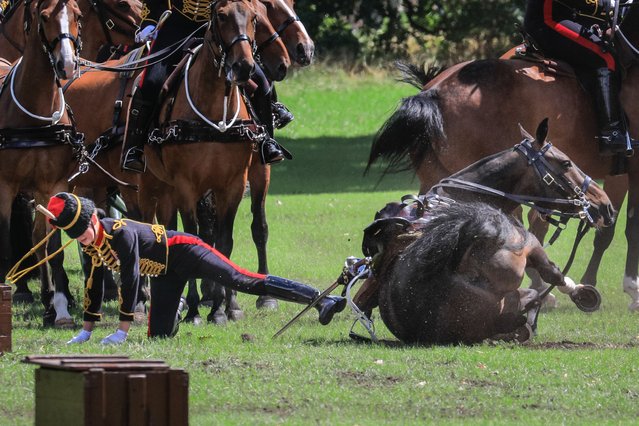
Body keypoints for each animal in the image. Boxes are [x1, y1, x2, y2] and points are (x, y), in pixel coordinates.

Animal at [0, 0, 83, 326]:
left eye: (77, 16)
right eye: (44, 17)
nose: (67, 65)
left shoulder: (51, 186)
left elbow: (50, 247)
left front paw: (57, 305)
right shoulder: (6, 185)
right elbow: (7, 242)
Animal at [358, 120, 612, 346]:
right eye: (566, 162)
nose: (605, 205)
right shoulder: (534, 250)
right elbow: (553, 274)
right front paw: (582, 294)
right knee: (531, 297)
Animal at [368, 2, 639, 310]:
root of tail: (433, 91)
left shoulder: (618, 172)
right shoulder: (631, 168)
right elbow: (626, 228)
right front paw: (630, 289)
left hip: (441, 176)